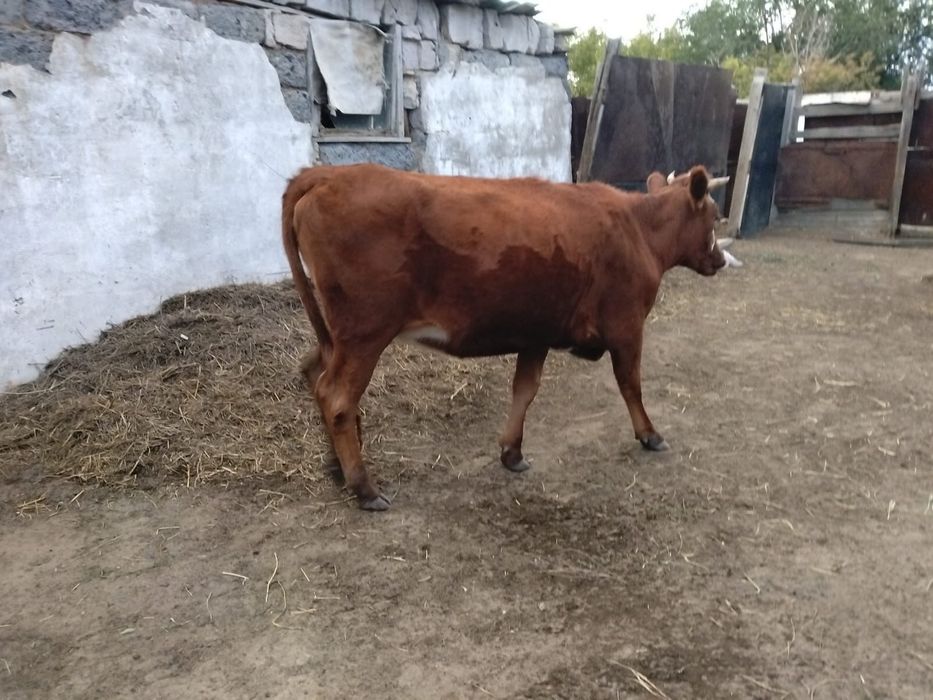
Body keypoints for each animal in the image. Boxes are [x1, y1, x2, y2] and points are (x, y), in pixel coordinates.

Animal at [282, 163, 728, 510]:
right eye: (714, 216)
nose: (721, 259)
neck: (638, 228)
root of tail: (327, 174)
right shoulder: (626, 325)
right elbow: (630, 384)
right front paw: (650, 434)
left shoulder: (536, 333)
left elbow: (524, 390)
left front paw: (512, 452)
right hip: (365, 333)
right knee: (337, 397)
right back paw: (364, 488)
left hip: (337, 335)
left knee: (313, 373)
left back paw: (336, 468)